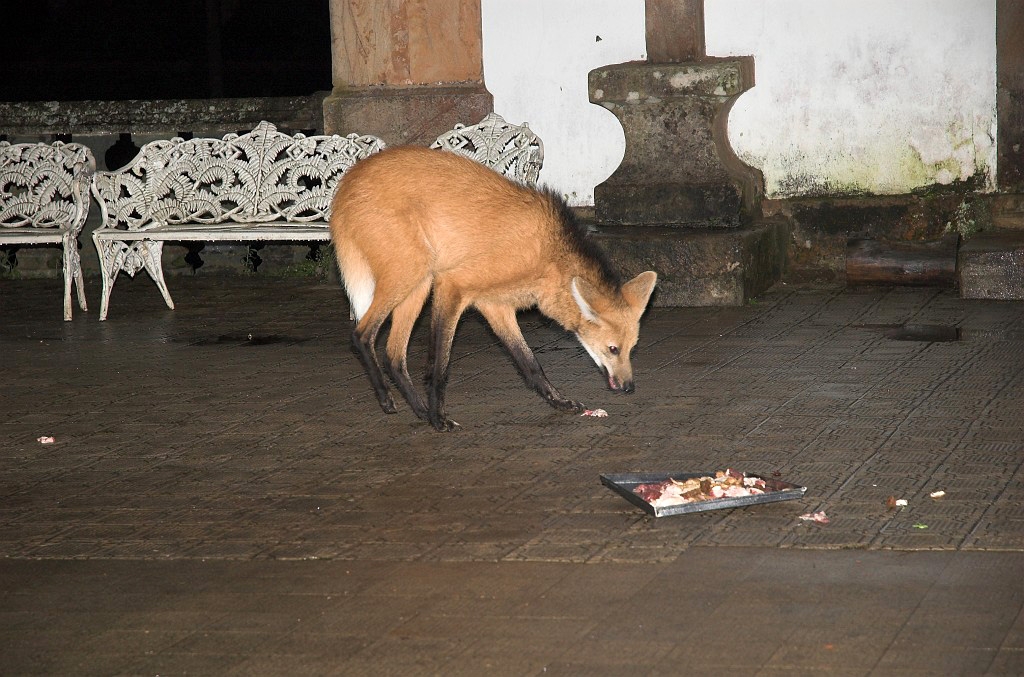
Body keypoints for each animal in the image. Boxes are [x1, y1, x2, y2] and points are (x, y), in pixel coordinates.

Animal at [331, 147, 659, 432]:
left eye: (631, 349)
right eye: (613, 349)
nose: (629, 387)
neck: (548, 254)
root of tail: (349, 179)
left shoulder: (495, 305)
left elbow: (530, 364)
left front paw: (560, 402)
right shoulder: (453, 285)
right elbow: (439, 365)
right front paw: (440, 419)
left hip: (419, 284)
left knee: (393, 355)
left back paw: (419, 410)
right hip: (411, 273)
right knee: (362, 335)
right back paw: (391, 401)